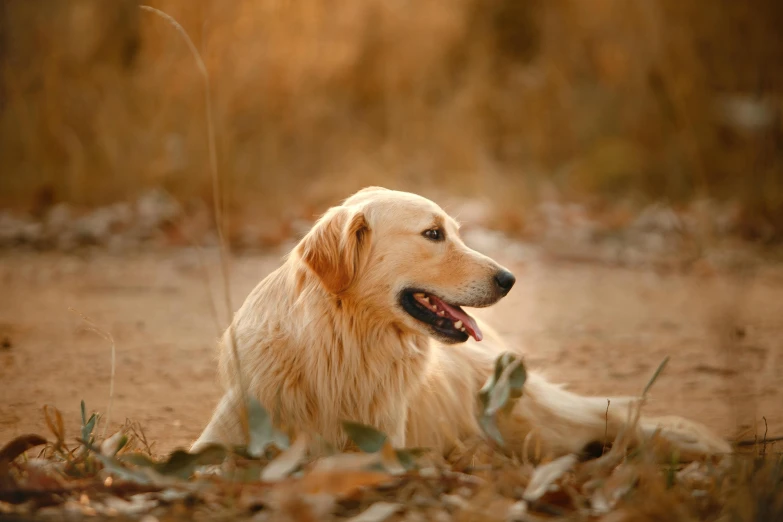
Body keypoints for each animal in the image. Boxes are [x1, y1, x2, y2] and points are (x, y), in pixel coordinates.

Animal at [193, 186, 732, 460]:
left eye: (453, 230)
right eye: (433, 234)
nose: (509, 279)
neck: (342, 344)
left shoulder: (380, 448)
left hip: (532, 419)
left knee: (614, 414)